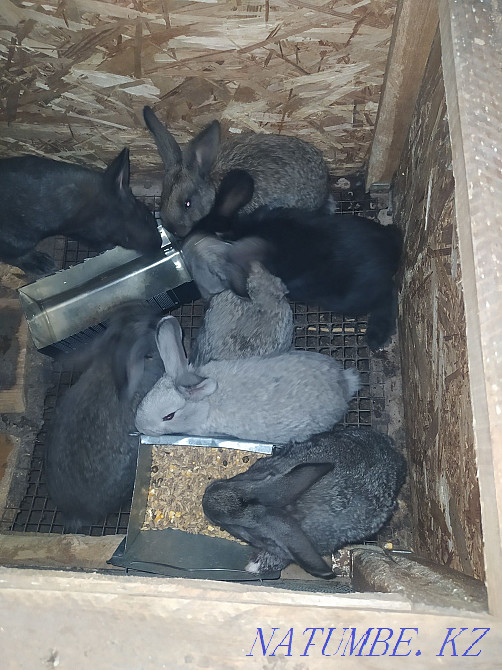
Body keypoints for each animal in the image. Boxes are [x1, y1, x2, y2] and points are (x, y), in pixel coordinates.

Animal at [202, 426, 407, 578]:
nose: (206, 498)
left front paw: (253, 567)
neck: (293, 508)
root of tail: (396, 456)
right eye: (257, 476)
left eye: (247, 534)